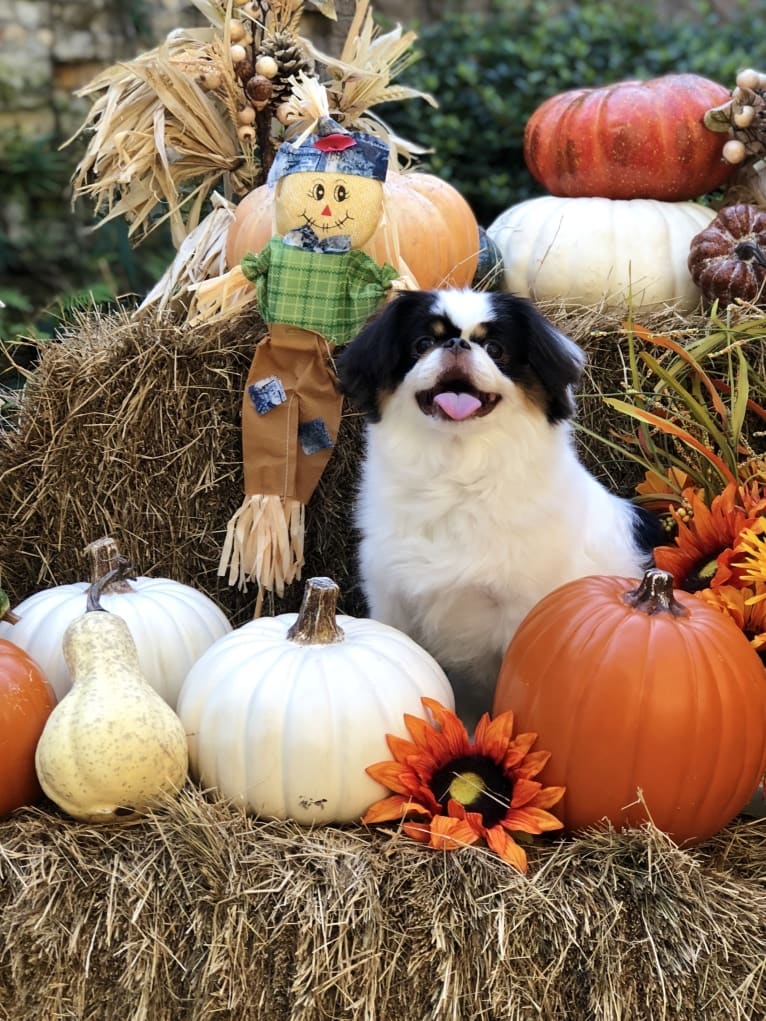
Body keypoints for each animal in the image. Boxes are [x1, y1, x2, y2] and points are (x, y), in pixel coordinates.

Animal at [339, 292, 661, 731]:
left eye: (495, 350)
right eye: (423, 344)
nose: (456, 344)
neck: (457, 473)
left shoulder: (524, 612)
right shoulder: (391, 601)